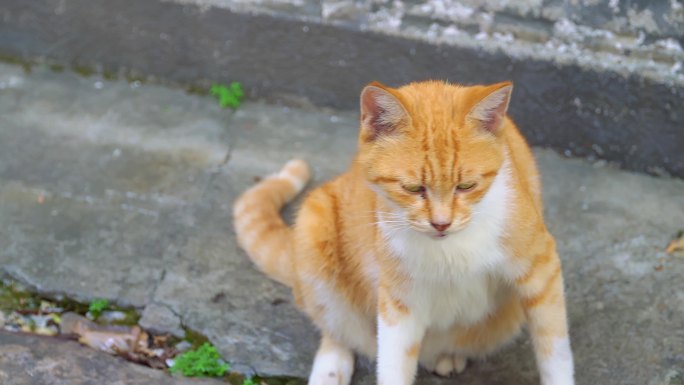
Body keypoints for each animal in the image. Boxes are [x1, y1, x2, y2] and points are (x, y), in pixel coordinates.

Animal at [232, 79, 576, 382]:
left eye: (466, 186)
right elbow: (393, 365)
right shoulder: (399, 301)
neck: (452, 248)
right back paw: (331, 370)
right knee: (337, 329)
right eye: (413, 188)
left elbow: (555, 352)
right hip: (314, 230)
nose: (441, 223)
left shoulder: (541, 270)